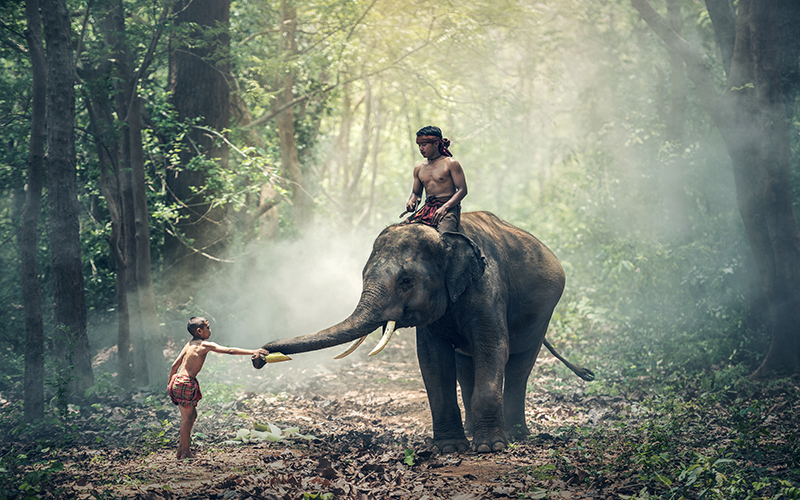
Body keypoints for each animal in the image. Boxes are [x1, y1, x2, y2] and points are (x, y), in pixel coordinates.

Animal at [255, 211, 594, 453]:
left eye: (406, 281)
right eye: (363, 275)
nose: (259, 356)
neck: (444, 236)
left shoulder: (488, 288)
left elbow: (494, 347)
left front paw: (490, 448)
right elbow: (432, 359)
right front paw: (450, 448)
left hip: (544, 313)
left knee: (520, 364)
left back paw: (516, 435)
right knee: (466, 365)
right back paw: (473, 432)